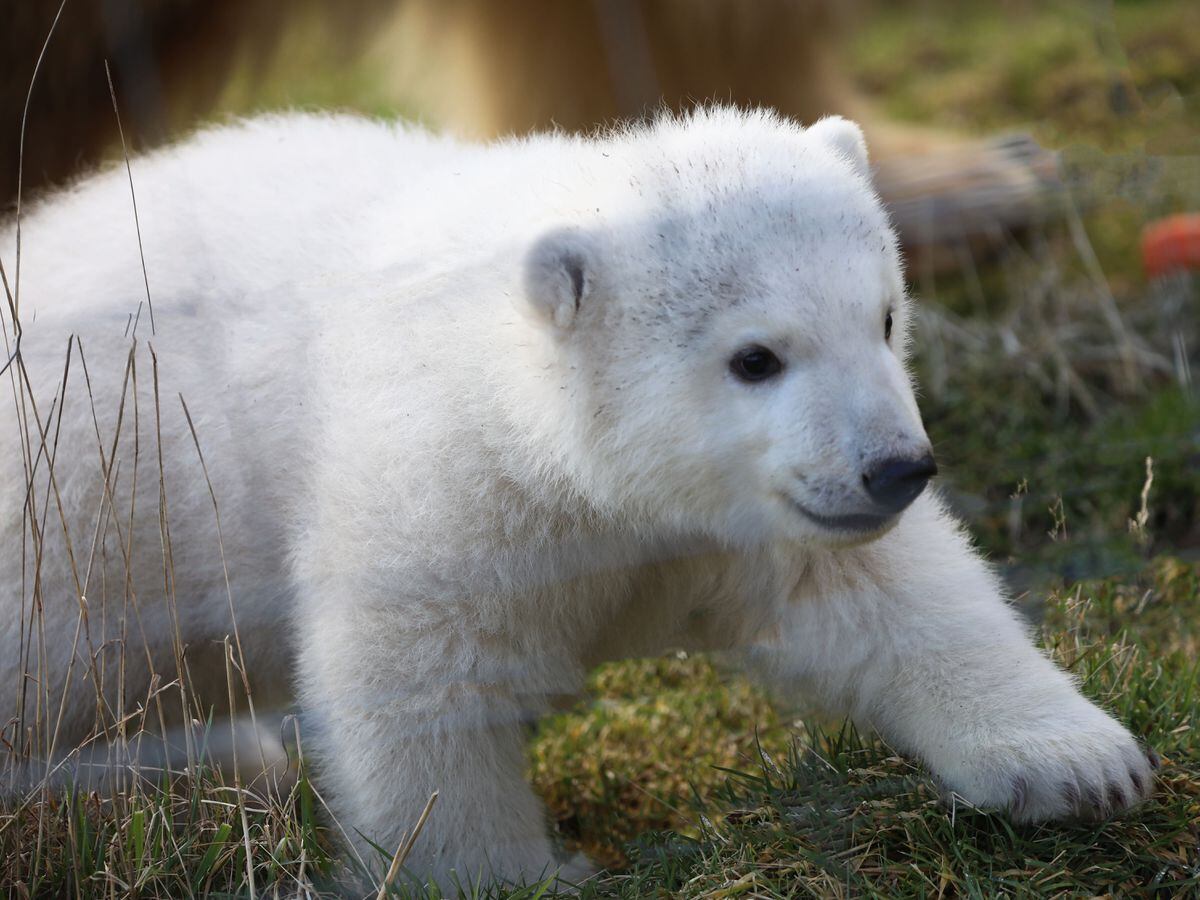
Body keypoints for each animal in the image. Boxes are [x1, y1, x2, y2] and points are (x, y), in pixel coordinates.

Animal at [2, 107, 1152, 888]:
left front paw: (1078, 763)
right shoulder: (448, 477)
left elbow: (890, 594)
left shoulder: (746, 519)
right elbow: (419, 678)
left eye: (884, 315)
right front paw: (508, 876)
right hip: (81, 513)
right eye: (756, 357)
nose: (895, 467)